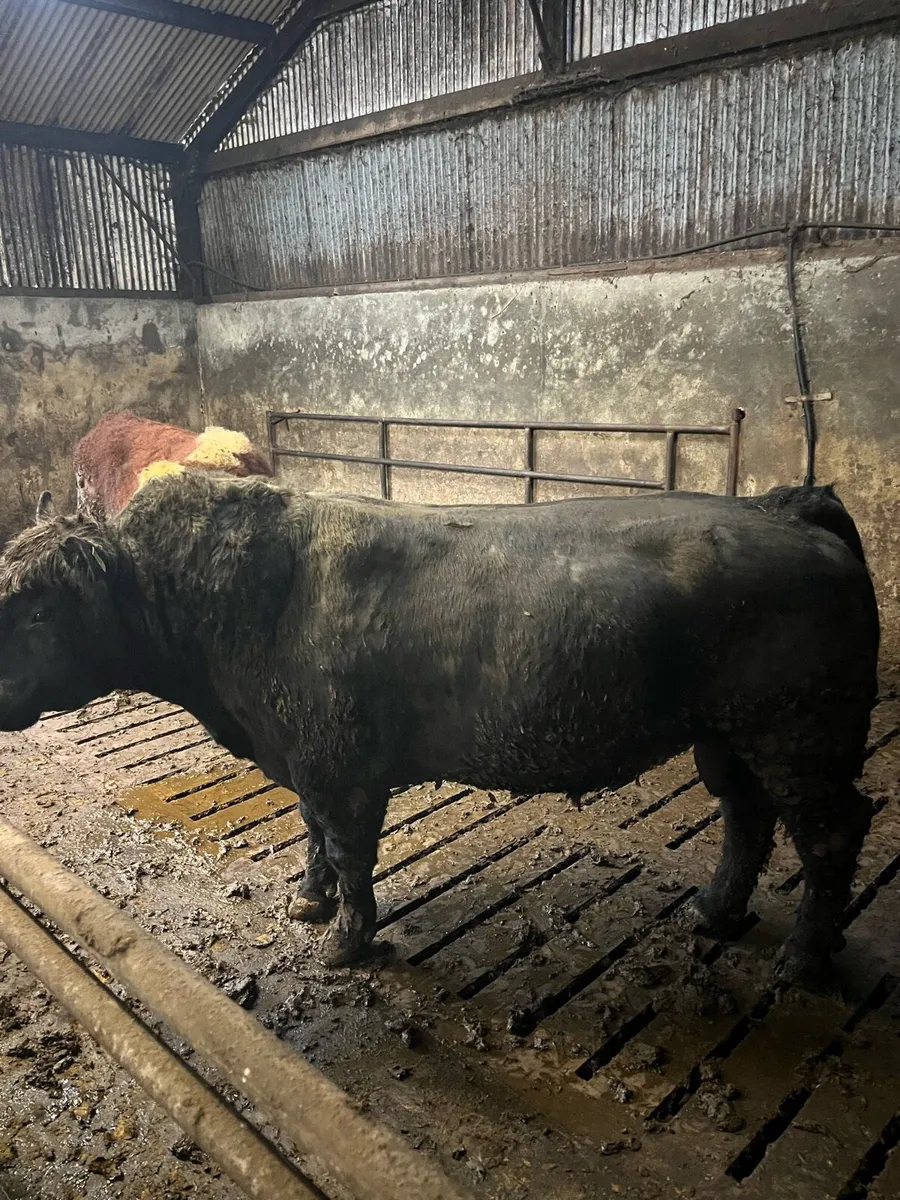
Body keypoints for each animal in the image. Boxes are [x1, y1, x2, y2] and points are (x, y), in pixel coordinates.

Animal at [0, 472, 879, 989]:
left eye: (39, 609)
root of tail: (783, 507)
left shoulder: (342, 767)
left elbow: (348, 852)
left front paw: (347, 941)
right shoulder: (308, 757)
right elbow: (311, 834)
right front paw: (308, 901)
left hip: (800, 734)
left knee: (831, 835)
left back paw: (802, 960)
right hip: (729, 736)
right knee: (747, 815)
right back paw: (716, 910)